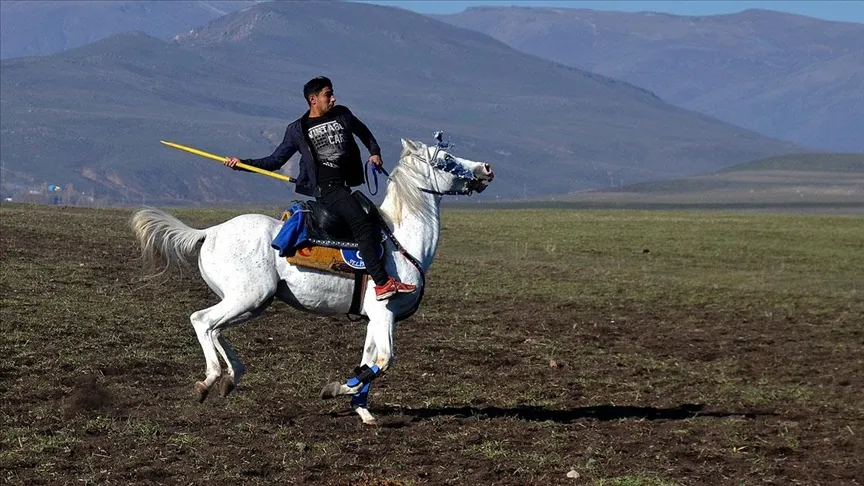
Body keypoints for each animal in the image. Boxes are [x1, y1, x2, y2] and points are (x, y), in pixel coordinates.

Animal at [128, 136, 492, 422]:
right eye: (446, 160)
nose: (486, 168)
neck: (400, 239)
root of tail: (210, 231)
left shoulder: (374, 317)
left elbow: (368, 359)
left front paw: (362, 409)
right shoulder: (383, 312)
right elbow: (383, 360)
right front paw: (337, 389)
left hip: (253, 302)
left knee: (215, 329)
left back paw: (232, 378)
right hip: (247, 297)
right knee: (202, 321)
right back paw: (210, 380)